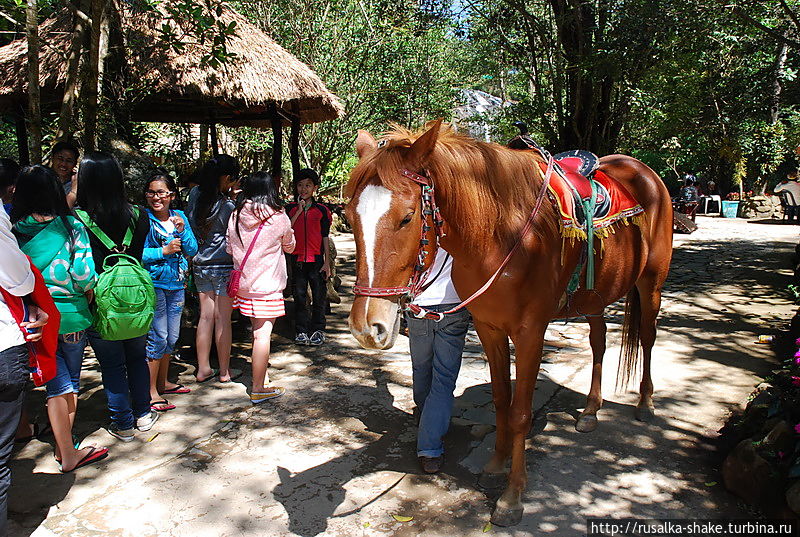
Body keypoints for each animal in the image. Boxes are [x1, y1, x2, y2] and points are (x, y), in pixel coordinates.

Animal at [344, 120, 668, 524]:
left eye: (407, 217)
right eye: (348, 218)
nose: (366, 328)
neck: (498, 234)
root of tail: (642, 171)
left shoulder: (530, 333)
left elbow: (520, 413)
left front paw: (512, 496)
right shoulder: (488, 327)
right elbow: (501, 400)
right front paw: (495, 464)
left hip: (651, 282)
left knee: (649, 337)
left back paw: (645, 404)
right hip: (596, 295)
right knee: (599, 341)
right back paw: (591, 411)